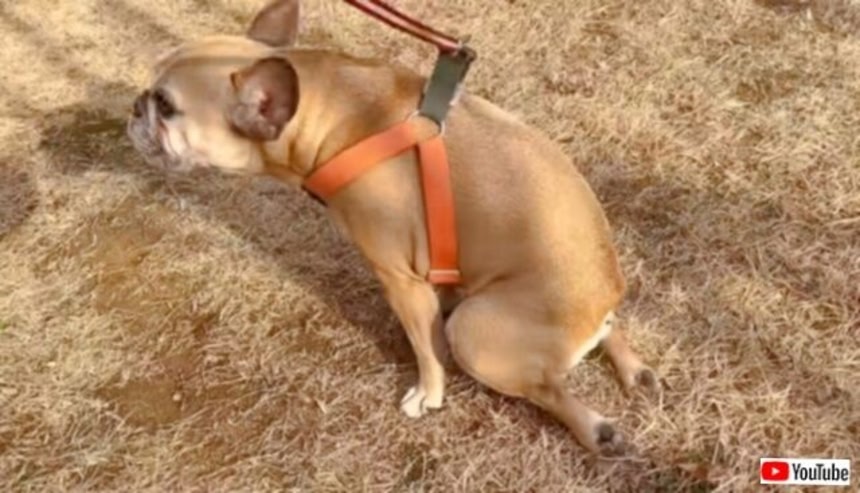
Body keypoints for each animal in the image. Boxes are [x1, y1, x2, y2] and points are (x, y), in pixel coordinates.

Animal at [127, 0, 657, 455]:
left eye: (166, 106)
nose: (135, 105)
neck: (335, 120)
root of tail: (600, 302)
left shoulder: (400, 278)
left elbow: (427, 349)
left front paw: (428, 393)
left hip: (475, 330)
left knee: (545, 384)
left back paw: (596, 430)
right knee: (609, 332)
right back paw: (635, 370)